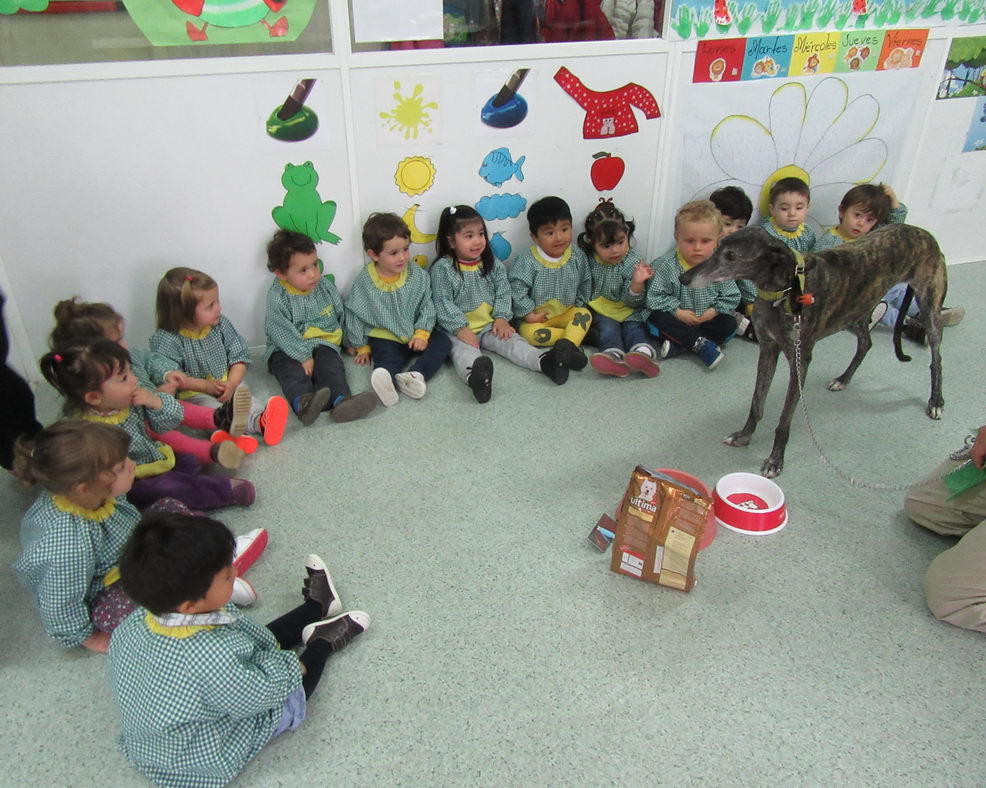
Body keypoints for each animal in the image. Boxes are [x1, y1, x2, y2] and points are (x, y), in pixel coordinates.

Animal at [676, 225, 944, 478]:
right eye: (717, 247)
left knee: (936, 357)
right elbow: (756, 403)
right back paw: (843, 379)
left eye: (731, 256)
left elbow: (784, 419)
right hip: (857, 309)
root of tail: (925, 234)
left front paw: (775, 460)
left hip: (929, 307)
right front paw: (744, 436)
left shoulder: (800, 361)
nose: (683, 278)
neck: (784, 290)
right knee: (865, 343)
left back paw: (936, 401)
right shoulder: (768, 349)